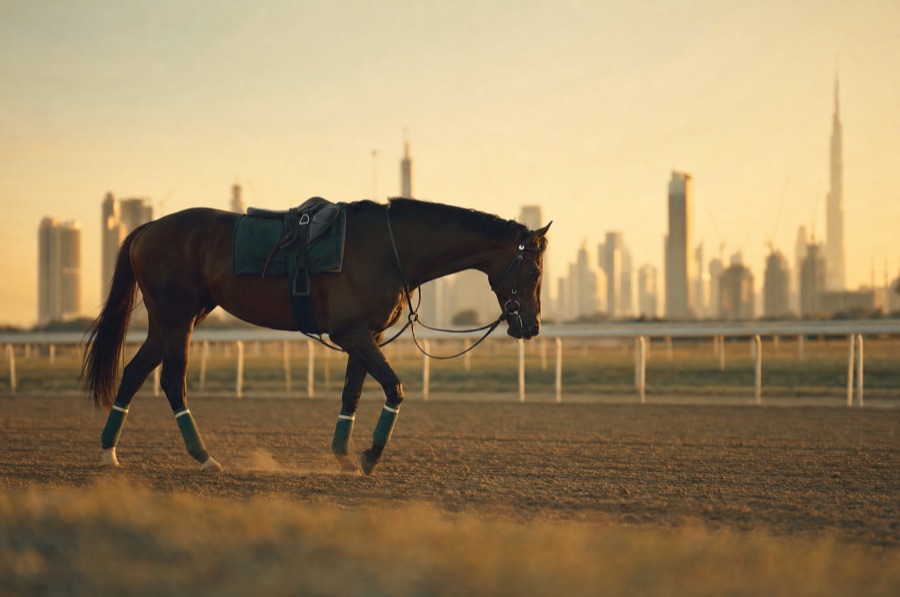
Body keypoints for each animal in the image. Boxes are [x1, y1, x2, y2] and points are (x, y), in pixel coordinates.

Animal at [82, 197, 550, 474]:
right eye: (533, 271)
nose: (531, 326)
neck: (388, 247)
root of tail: (146, 229)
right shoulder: (351, 333)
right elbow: (394, 387)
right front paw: (369, 456)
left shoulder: (366, 333)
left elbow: (352, 394)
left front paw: (343, 455)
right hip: (179, 320)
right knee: (171, 383)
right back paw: (204, 457)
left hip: (171, 321)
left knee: (133, 374)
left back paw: (109, 452)